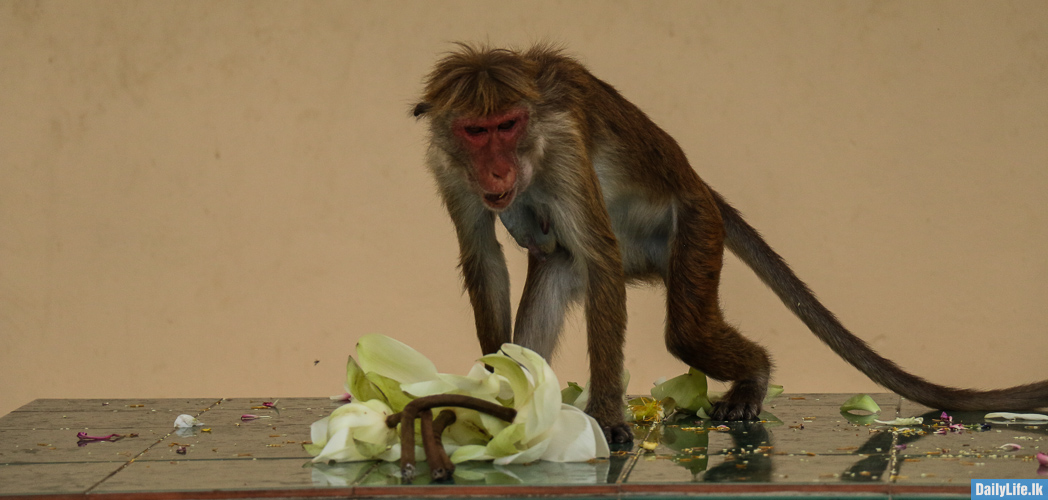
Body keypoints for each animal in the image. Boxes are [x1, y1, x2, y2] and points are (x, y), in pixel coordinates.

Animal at [410, 41, 1048, 440]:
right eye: (475, 131)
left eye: (507, 125)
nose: (496, 171)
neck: (532, 143)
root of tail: (700, 186)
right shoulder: (447, 165)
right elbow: (484, 258)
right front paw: (495, 387)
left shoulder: (566, 148)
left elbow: (601, 256)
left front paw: (609, 414)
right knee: (560, 265)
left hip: (695, 230)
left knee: (683, 327)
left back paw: (755, 376)